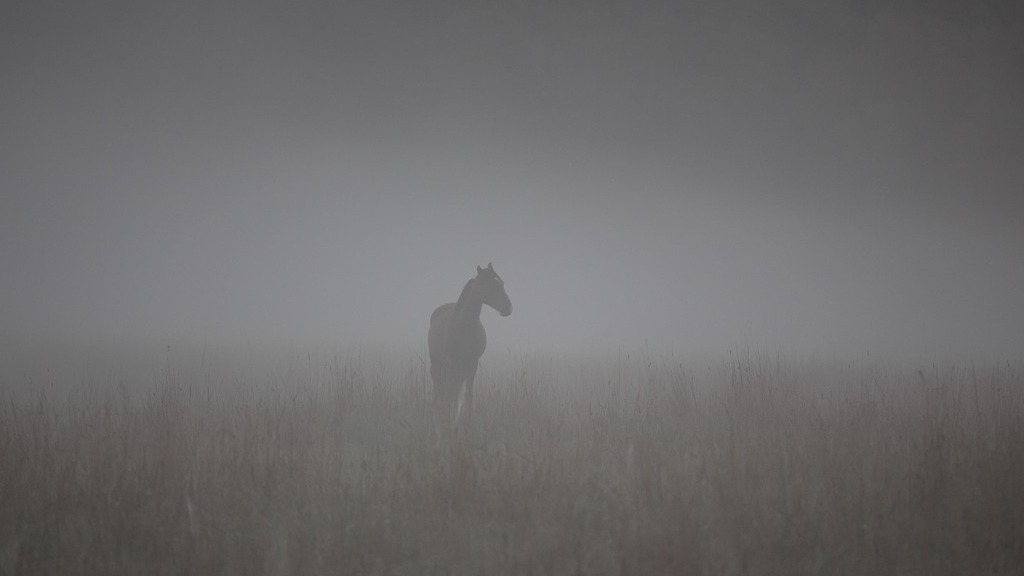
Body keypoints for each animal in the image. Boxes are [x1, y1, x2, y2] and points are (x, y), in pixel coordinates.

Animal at [428, 263, 512, 448]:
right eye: (491, 284)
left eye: (501, 283)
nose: (508, 308)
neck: (464, 326)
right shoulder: (451, 363)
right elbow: (450, 394)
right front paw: (449, 431)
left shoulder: (472, 364)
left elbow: (468, 395)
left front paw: (465, 430)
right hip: (437, 364)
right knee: (439, 392)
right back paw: (438, 430)